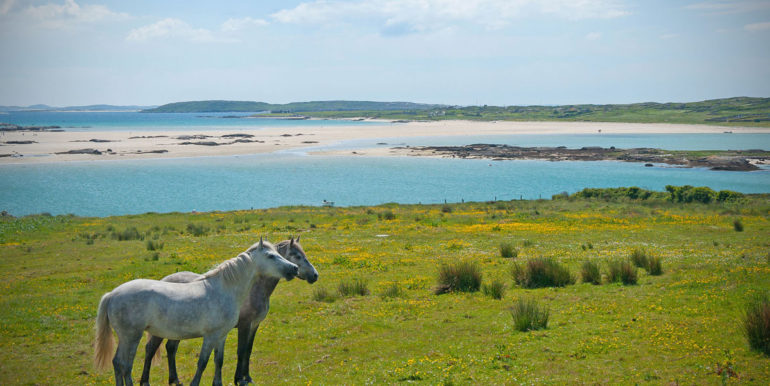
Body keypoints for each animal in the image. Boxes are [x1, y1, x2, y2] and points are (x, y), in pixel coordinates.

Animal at [94, 238, 298, 386]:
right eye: (271, 256)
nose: (294, 269)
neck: (223, 289)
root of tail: (112, 294)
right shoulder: (210, 336)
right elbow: (203, 362)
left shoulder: (221, 336)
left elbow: (218, 360)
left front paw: (218, 383)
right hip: (132, 336)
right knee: (125, 365)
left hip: (125, 337)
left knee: (117, 363)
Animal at [140, 237, 316, 384]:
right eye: (296, 255)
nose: (315, 275)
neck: (253, 290)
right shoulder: (244, 325)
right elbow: (241, 350)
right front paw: (239, 379)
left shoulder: (254, 325)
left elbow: (248, 350)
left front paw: (247, 377)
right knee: (150, 349)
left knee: (171, 348)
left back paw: (175, 380)